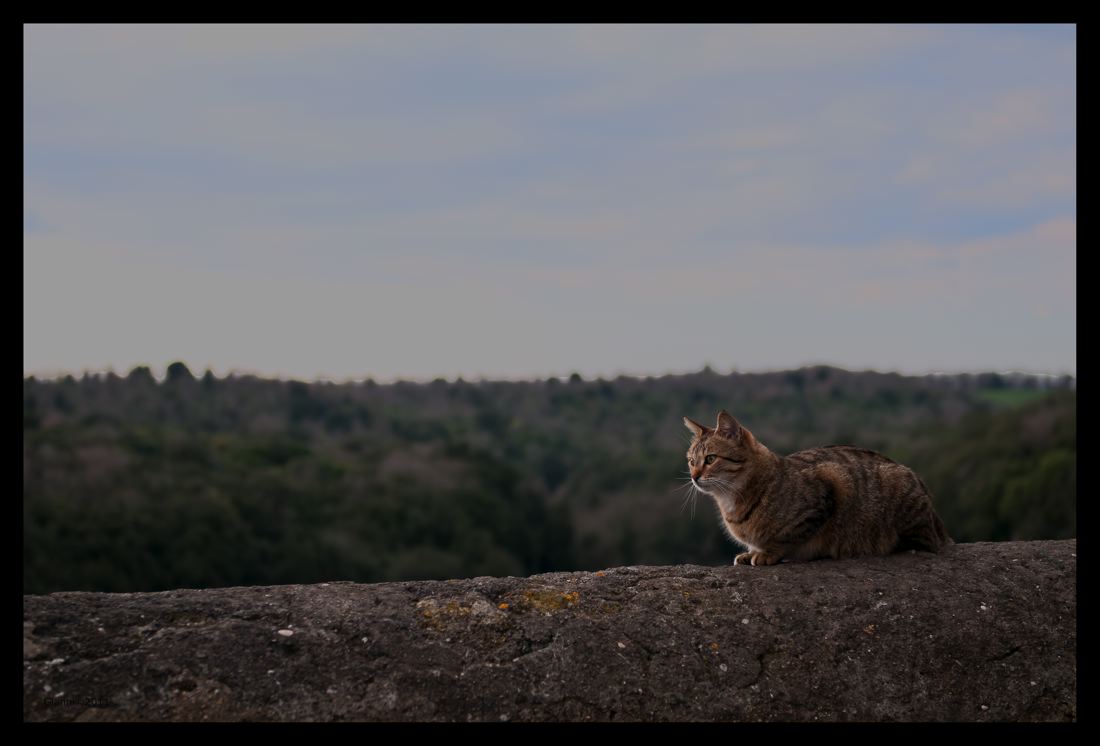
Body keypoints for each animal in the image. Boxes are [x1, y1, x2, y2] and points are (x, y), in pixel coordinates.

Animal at [677, 409, 946, 567]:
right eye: (691, 461)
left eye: (710, 459)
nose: (694, 477)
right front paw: (750, 551)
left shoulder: (828, 488)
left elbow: (789, 537)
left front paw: (767, 552)